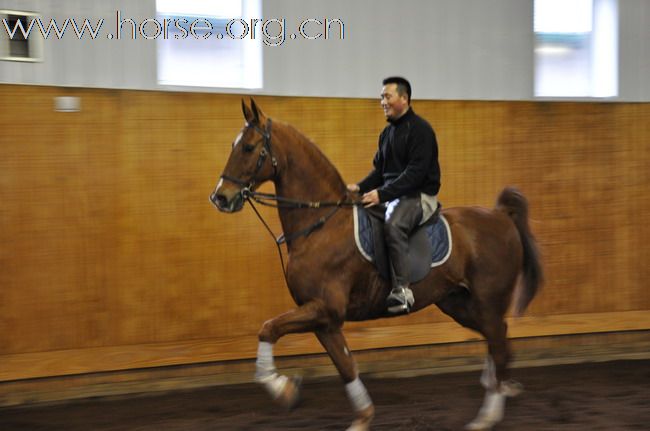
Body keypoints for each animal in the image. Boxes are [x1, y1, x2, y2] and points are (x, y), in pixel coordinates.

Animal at [210, 99, 540, 430]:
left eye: (249, 147)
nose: (221, 197)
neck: (321, 225)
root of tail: (500, 215)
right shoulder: (323, 319)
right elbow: (346, 366)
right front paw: (359, 417)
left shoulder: (324, 309)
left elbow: (268, 329)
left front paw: (282, 389)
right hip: (458, 303)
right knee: (498, 336)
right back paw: (499, 388)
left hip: (487, 299)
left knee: (497, 340)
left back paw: (487, 415)